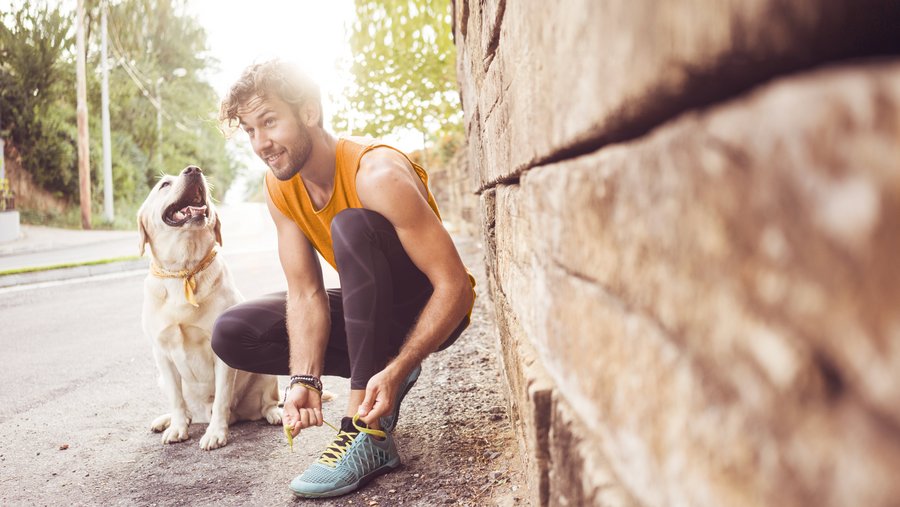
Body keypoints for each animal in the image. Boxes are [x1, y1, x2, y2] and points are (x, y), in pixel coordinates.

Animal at [137, 165, 282, 450]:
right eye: (164, 185)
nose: (193, 170)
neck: (184, 270)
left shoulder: (221, 354)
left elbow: (222, 397)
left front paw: (216, 433)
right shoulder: (161, 353)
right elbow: (177, 399)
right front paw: (177, 428)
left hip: (264, 372)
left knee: (268, 402)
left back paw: (275, 414)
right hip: (161, 378)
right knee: (186, 408)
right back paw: (167, 420)